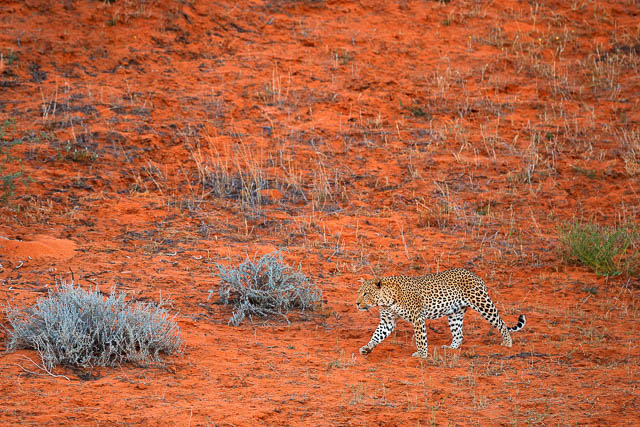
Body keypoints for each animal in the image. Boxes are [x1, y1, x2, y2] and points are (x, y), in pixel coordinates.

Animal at [356, 268, 526, 358]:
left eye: (366, 294)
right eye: (359, 292)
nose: (357, 303)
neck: (386, 299)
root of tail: (475, 275)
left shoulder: (417, 317)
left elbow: (421, 337)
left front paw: (421, 354)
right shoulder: (387, 321)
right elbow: (377, 335)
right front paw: (367, 348)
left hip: (482, 303)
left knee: (500, 322)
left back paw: (507, 342)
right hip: (455, 314)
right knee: (459, 334)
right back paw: (451, 348)